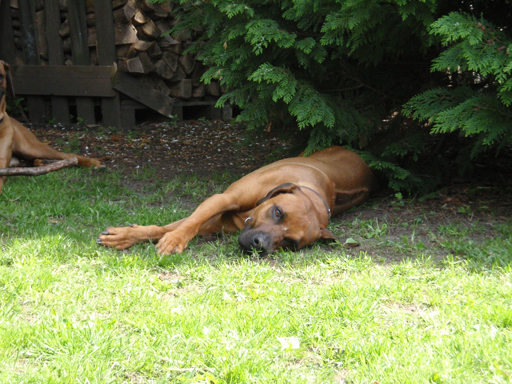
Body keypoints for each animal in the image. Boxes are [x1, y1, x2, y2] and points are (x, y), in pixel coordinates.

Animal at [98, 146, 376, 255]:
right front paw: (129, 236)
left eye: (290, 243)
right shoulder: (222, 199)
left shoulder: (216, 224)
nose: (258, 244)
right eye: (278, 212)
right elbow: (181, 226)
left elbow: (178, 227)